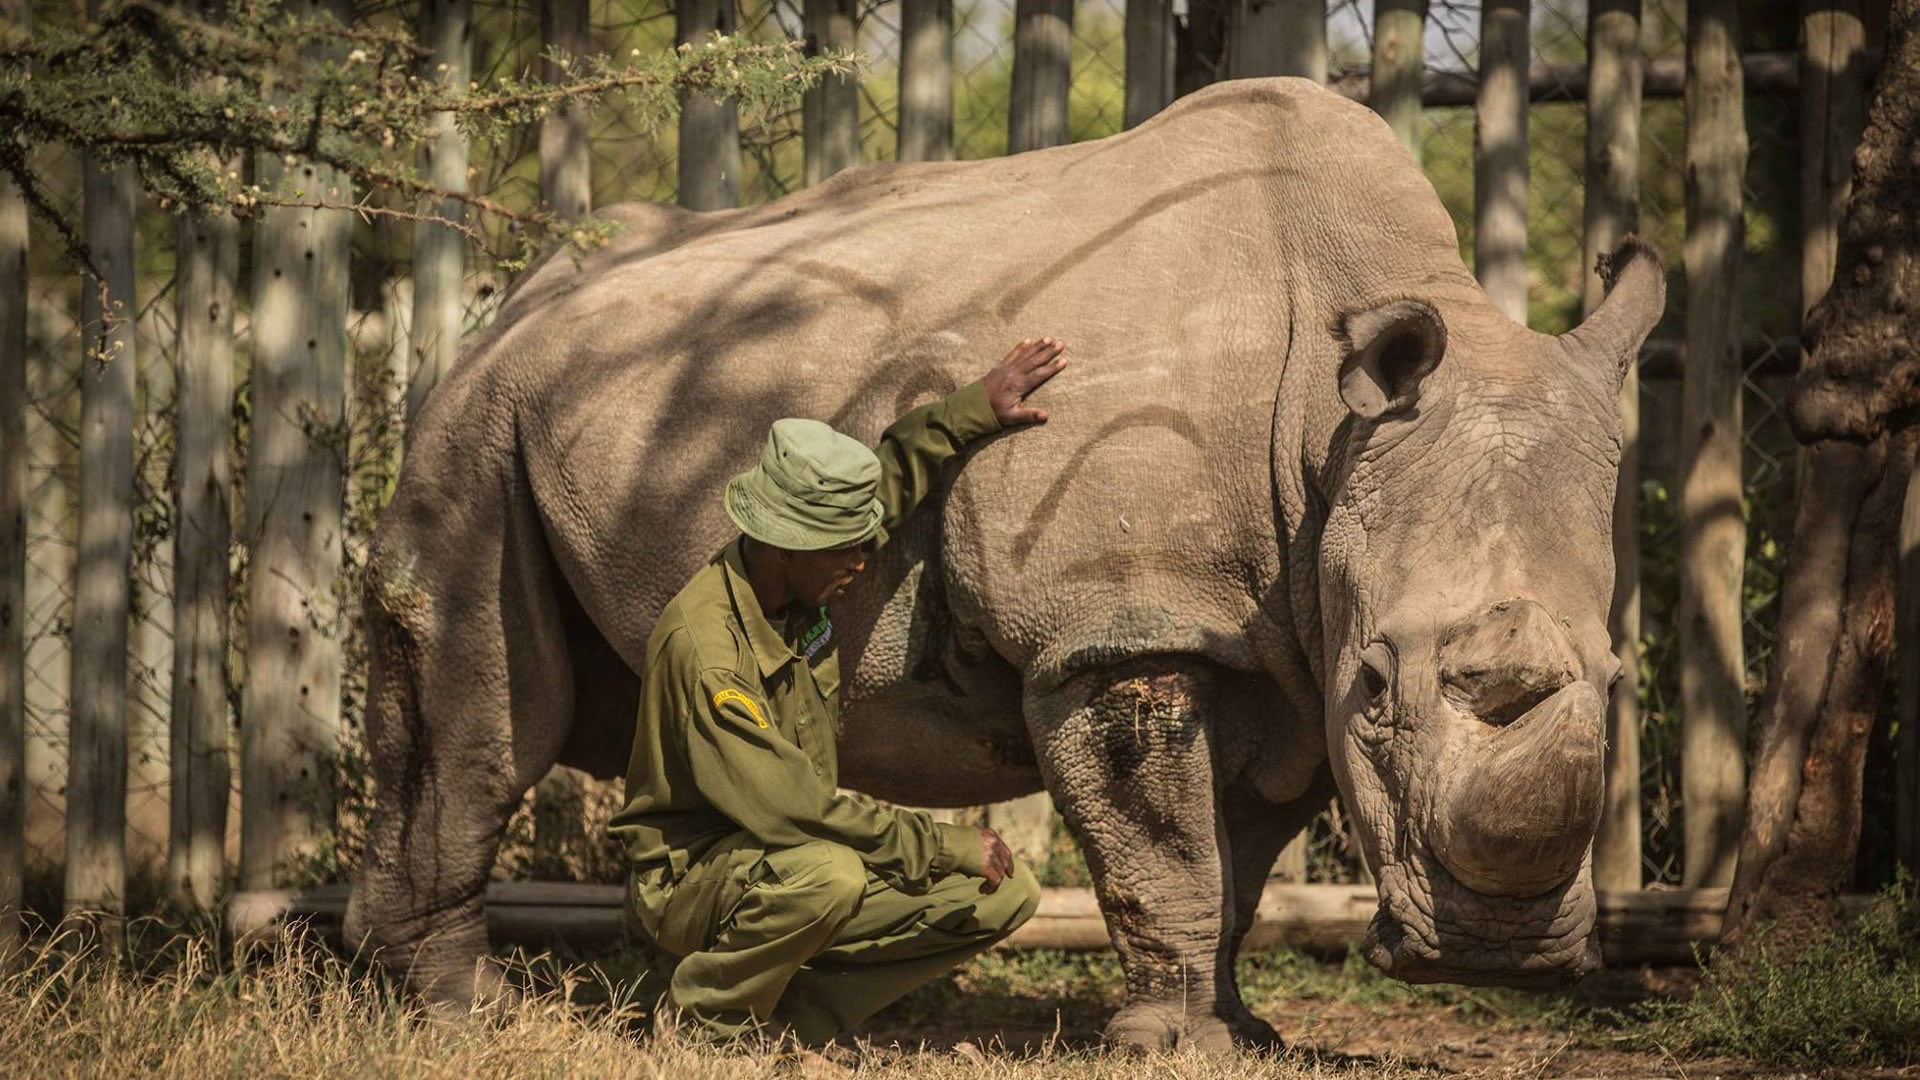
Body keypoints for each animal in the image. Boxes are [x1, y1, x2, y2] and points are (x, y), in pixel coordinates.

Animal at [343, 76, 1665, 1051]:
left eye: (1617, 684)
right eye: (1383, 688)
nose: (1499, 957)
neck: (1323, 429)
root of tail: (524, 286)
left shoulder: (1290, 646)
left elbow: (1238, 860)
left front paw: (1243, 1035)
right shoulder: (1120, 626)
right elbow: (1165, 849)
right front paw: (1169, 1046)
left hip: (599, 395)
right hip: (481, 411)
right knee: (480, 704)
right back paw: (466, 1016)